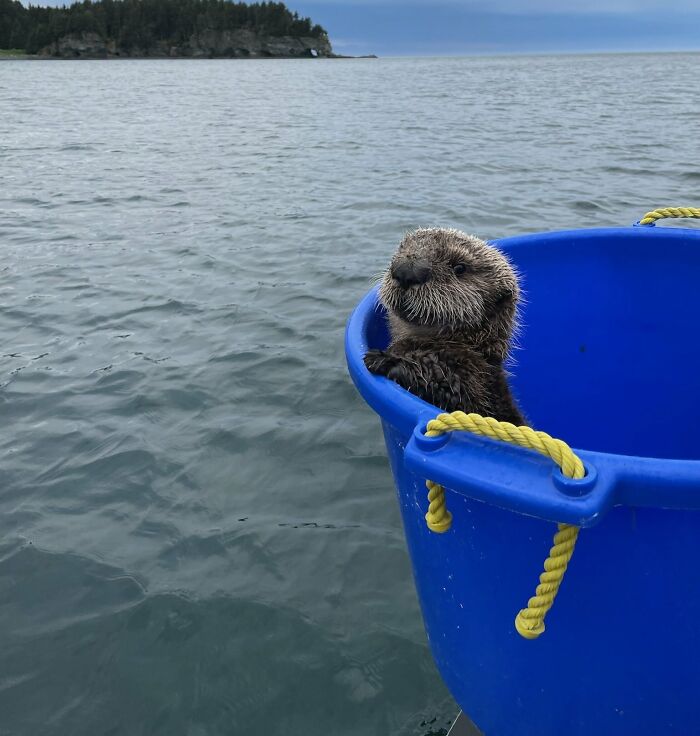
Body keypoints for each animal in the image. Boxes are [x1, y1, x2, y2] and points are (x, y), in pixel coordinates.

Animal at [364, 227, 526, 425]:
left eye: (459, 268)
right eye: (403, 248)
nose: (407, 270)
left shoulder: (472, 377)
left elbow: (452, 391)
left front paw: (388, 361)